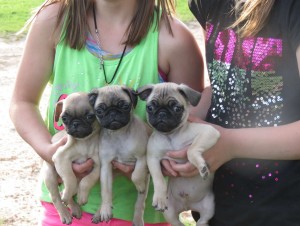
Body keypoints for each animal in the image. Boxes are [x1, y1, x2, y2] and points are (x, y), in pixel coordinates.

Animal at [42, 92, 101, 224]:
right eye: (64, 118)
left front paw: (82, 196)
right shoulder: (61, 157)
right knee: (56, 197)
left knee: (64, 194)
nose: (76, 123)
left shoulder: (99, 166)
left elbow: (88, 180)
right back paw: (65, 214)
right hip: (49, 175)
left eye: (90, 116)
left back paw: (74, 207)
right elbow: (70, 178)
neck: (84, 141)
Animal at [88, 85, 150, 225]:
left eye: (125, 106)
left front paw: (139, 184)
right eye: (99, 110)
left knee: (140, 202)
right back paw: (100, 212)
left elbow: (136, 175)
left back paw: (138, 219)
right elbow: (105, 191)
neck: (118, 133)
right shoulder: (106, 166)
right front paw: (105, 210)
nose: (112, 112)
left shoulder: (142, 158)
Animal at [137, 83, 219, 226]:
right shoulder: (152, 158)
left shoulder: (209, 132)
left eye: (176, 108)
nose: (162, 113)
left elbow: (191, 150)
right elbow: (158, 179)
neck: (171, 135)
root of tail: (187, 206)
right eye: (150, 107)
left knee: (203, 220)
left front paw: (202, 167)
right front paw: (159, 198)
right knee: (176, 222)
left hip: (210, 206)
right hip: (169, 211)